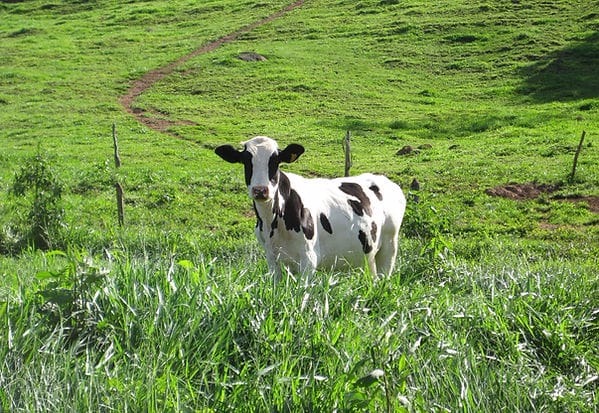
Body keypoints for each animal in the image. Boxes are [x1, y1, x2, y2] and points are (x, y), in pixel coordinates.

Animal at [216, 137, 408, 278]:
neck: (272, 223)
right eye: (246, 161)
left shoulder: (309, 260)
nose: (260, 190)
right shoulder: (272, 260)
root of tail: (386, 180)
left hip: (389, 247)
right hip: (369, 255)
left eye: (276, 161)